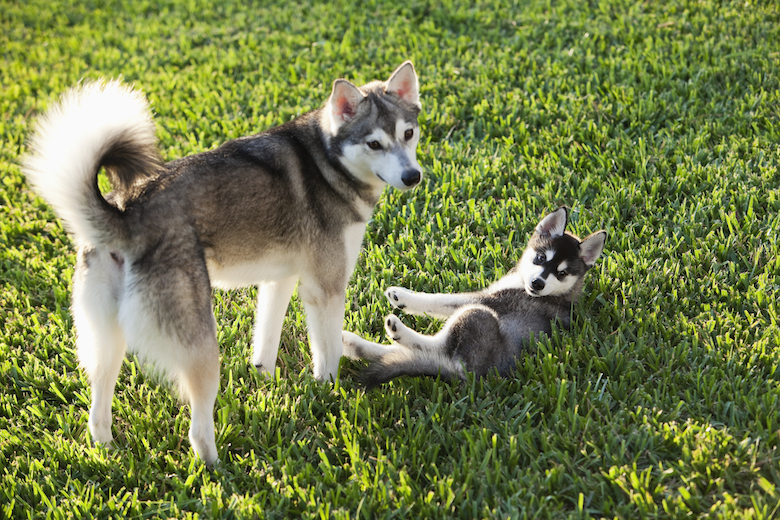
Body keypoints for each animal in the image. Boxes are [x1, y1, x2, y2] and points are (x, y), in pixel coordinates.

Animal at [24, 60, 424, 464]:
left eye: (408, 134)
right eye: (374, 143)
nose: (413, 176)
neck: (328, 160)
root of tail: (126, 212)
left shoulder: (279, 280)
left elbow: (266, 339)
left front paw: (265, 378)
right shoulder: (325, 290)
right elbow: (328, 353)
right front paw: (328, 395)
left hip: (106, 340)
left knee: (98, 407)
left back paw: (107, 449)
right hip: (201, 346)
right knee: (198, 429)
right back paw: (218, 468)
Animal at [340, 209, 604, 388]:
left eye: (562, 273)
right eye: (540, 258)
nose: (537, 284)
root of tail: (468, 374)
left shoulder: (485, 300)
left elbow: (441, 300)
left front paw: (403, 296)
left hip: (477, 316)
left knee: (429, 348)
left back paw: (395, 330)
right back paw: (353, 344)